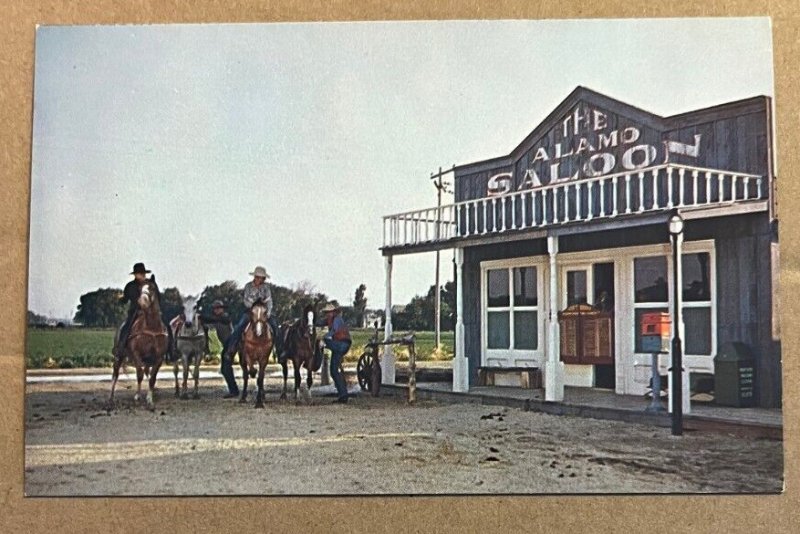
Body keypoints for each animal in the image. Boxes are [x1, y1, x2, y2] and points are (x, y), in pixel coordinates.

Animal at [109, 278, 170, 412]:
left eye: (152, 287)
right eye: (140, 289)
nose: (141, 302)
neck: (151, 328)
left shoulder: (158, 358)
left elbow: (152, 378)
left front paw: (150, 400)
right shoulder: (137, 355)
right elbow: (139, 375)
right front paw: (137, 397)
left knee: (146, 373)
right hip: (119, 357)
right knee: (115, 374)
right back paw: (111, 399)